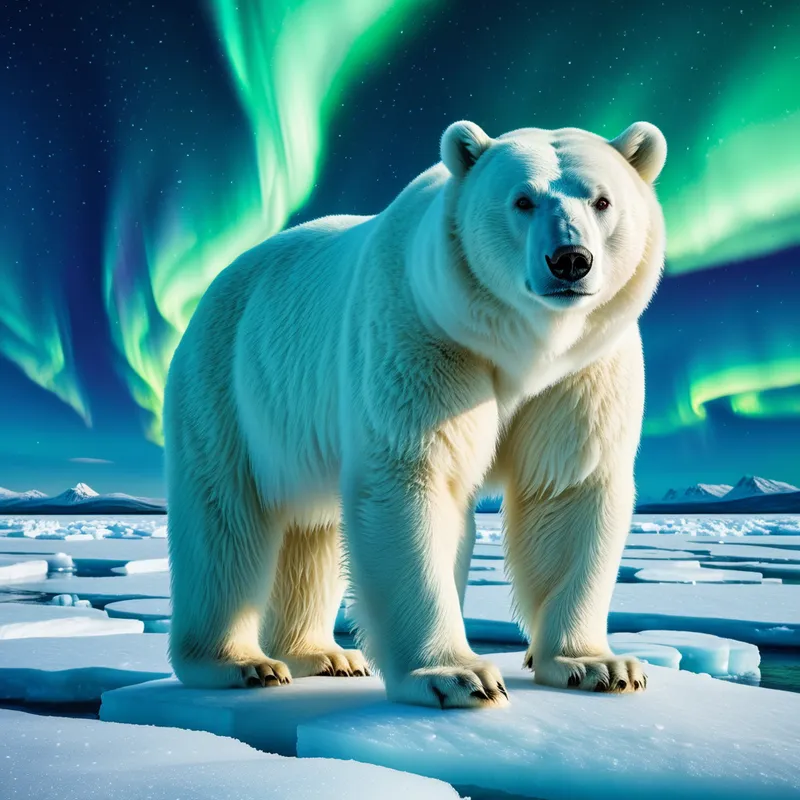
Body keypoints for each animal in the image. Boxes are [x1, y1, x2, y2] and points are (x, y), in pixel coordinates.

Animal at [164, 119, 667, 709]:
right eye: (521, 200)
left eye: (601, 200)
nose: (570, 259)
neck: (524, 347)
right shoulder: (423, 334)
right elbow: (412, 480)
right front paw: (458, 676)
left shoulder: (582, 370)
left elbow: (567, 487)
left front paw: (599, 665)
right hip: (229, 388)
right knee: (225, 521)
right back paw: (242, 663)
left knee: (311, 530)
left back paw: (323, 655)